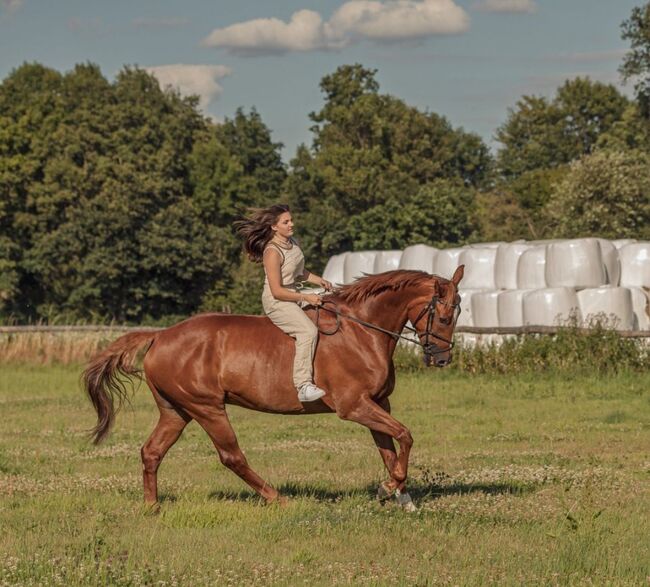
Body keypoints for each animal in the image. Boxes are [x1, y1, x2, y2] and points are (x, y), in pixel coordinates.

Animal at [83, 266, 464, 510]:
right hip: (206, 408)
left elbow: (389, 448)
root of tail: (160, 336)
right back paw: (277, 498)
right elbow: (405, 436)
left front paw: (399, 495)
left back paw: (152, 507)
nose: (442, 359)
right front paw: (391, 488)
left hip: (175, 411)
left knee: (152, 452)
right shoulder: (355, 406)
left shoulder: (378, 403)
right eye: (445, 316)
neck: (363, 331)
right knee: (232, 456)